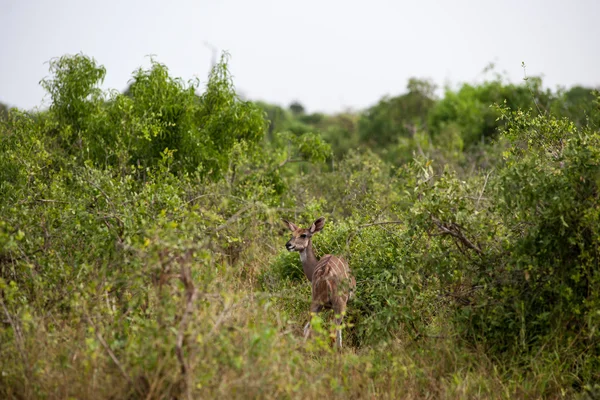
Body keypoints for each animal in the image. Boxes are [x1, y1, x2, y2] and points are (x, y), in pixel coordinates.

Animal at [282, 217, 356, 348]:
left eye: (303, 235)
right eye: (292, 234)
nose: (288, 245)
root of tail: (326, 271)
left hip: (316, 302)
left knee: (309, 326)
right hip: (339, 303)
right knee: (334, 329)